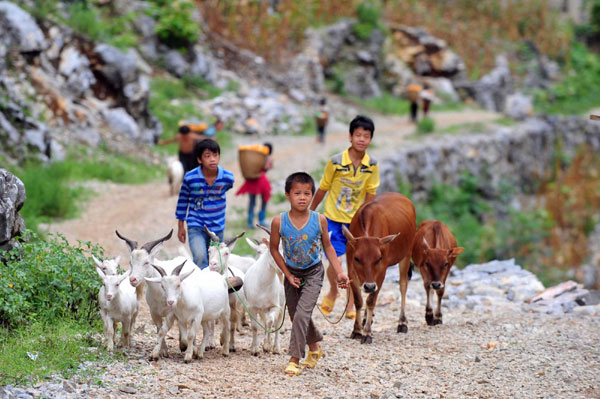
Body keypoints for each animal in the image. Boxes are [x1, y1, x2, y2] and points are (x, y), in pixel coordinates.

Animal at [115, 230, 195, 358]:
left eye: (146, 262)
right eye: (130, 262)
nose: (133, 279)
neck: (159, 293)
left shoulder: (171, 312)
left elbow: (164, 329)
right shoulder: (154, 312)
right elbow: (159, 329)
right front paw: (163, 350)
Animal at [342, 193, 418, 344]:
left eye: (378, 258)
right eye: (357, 258)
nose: (369, 286)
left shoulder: (382, 271)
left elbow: (371, 300)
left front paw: (366, 333)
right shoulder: (351, 270)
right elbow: (359, 300)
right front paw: (357, 330)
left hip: (406, 254)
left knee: (403, 286)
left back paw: (402, 323)